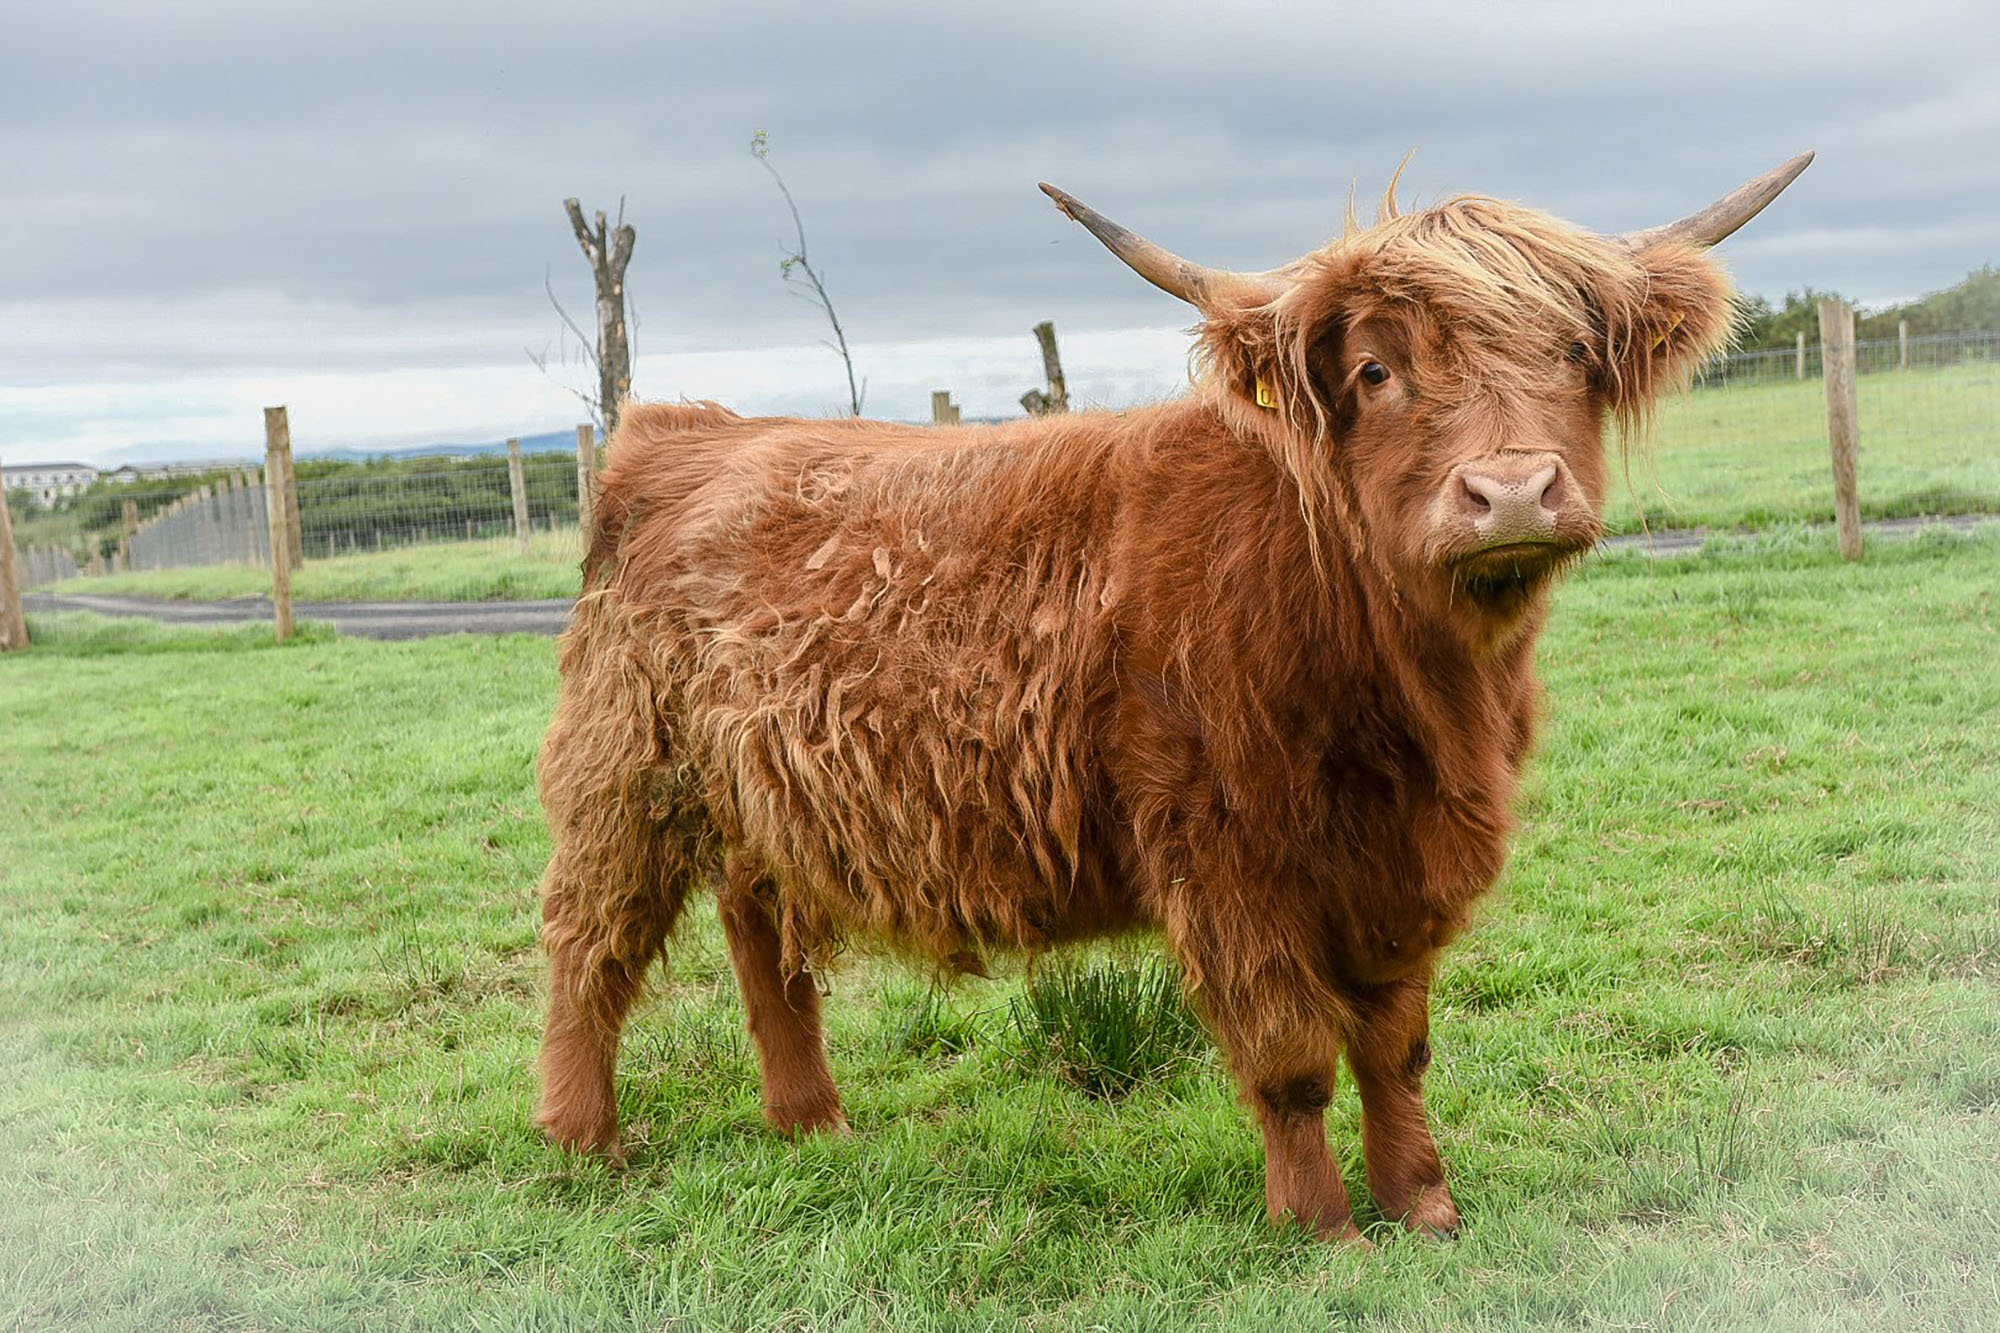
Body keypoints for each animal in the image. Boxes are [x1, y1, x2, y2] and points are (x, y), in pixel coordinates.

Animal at [532, 153, 1816, 1232]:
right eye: (1375, 369)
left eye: (1570, 360)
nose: (1508, 491)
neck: (1410, 695)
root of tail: (683, 429)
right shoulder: (1222, 855)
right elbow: (1291, 1057)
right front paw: (1320, 1227)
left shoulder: (1399, 864)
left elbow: (1394, 1045)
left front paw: (1423, 1204)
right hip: (626, 773)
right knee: (588, 945)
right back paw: (582, 1139)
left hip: (755, 796)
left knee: (760, 939)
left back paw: (812, 1124)